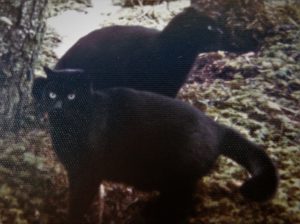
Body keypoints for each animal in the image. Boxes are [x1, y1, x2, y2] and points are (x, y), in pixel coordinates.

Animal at [32, 68, 276, 224]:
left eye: (71, 96)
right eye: (52, 93)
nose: (57, 106)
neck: (66, 130)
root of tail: (216, 126)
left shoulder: (87, 173)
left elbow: (78, 202)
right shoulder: (75, 171)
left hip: (178, 174)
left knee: (185, 201)